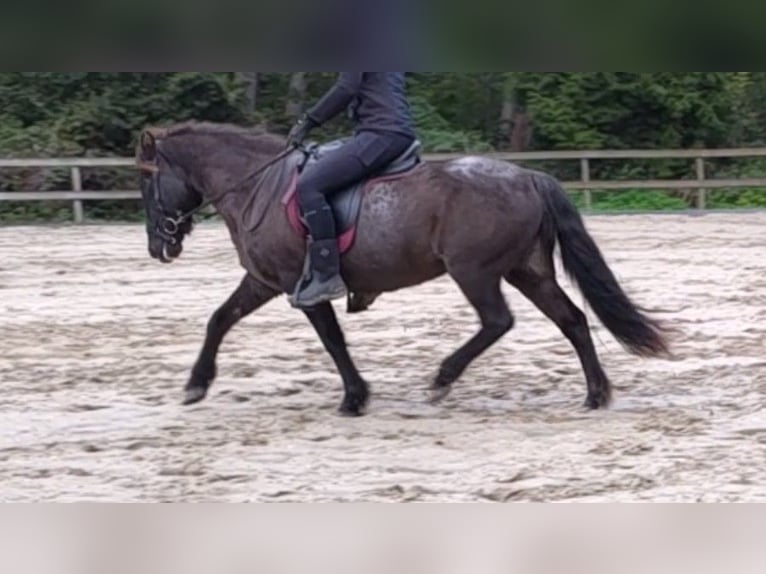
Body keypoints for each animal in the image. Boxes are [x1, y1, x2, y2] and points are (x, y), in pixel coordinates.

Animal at [135, 121, 669, 417]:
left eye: (146, 184)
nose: (159, 247)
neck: (257, 186)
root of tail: (529, 176)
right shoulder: (264, 282)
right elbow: (220, 319)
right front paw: (196, 384)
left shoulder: (299, 286)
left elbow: (332, 340)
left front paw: (354, 397)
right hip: (528, 270)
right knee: (572, 321)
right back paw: (596, 394)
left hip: (475, 272)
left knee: (498, 321)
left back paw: (442, 380)